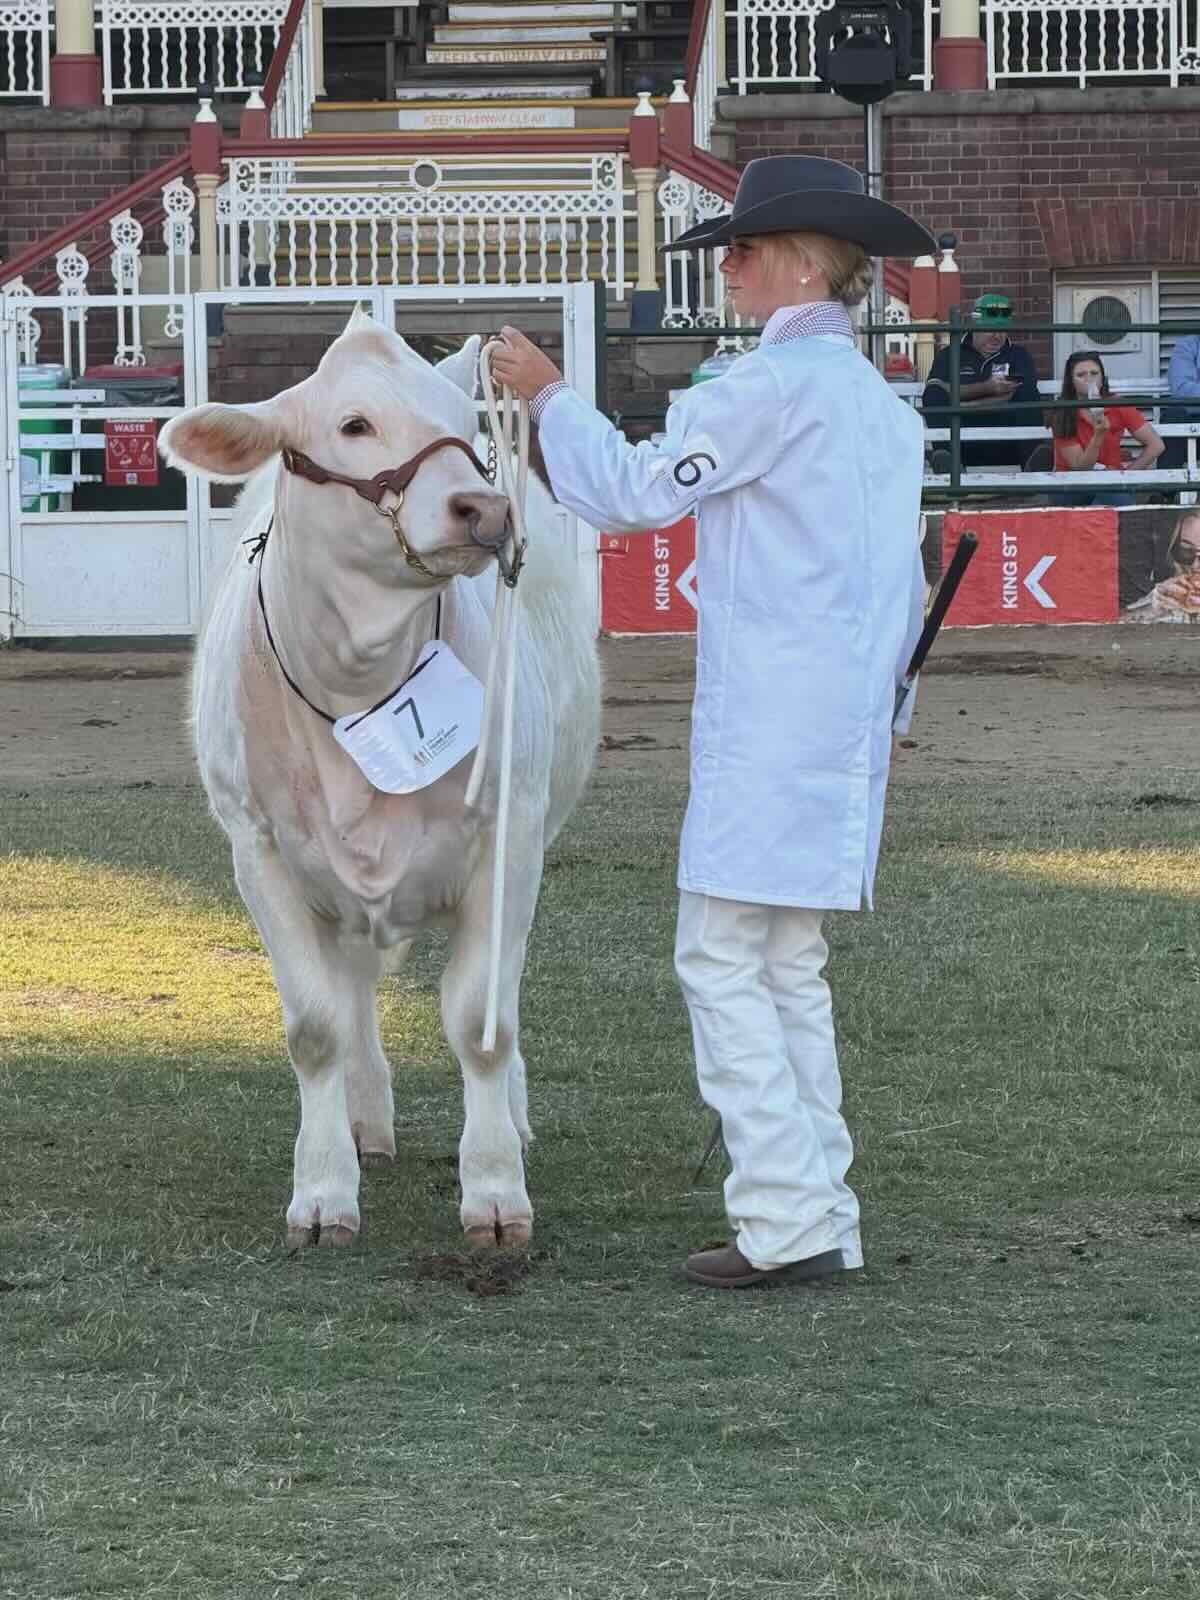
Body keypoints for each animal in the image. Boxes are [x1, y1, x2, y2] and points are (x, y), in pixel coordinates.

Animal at [160, 311, 601, 1250]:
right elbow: (316, 1027)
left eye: (467, 422)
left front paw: (495, 1189)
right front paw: (323, 1191)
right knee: (354, 987)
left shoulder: (509, 838)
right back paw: (363, 1120)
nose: (484, 508)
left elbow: (482, 1021)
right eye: (353, 425)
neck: (359, 678)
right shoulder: (259, 850)